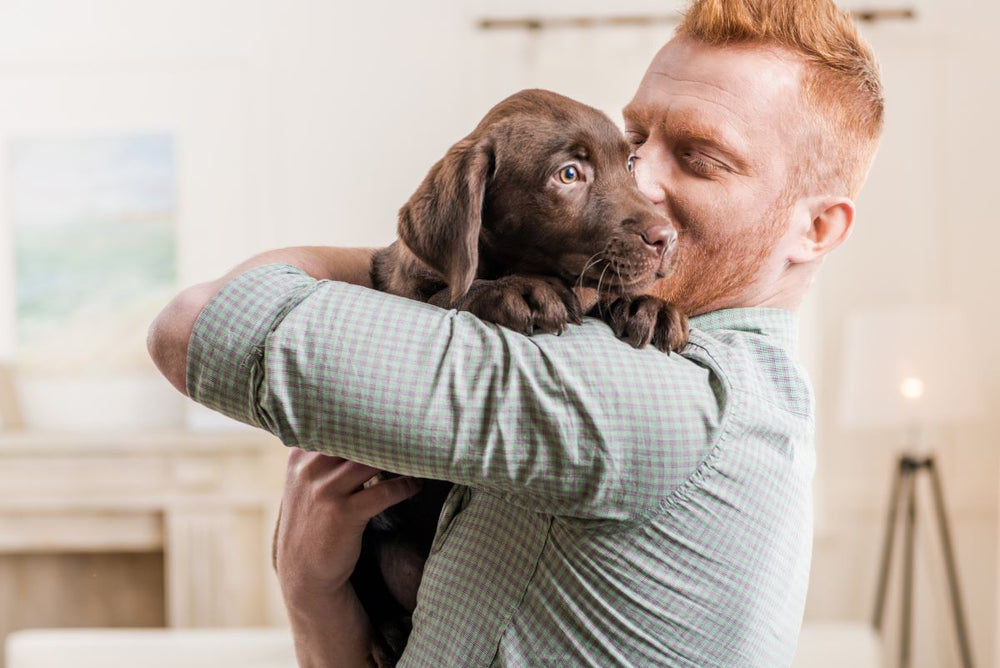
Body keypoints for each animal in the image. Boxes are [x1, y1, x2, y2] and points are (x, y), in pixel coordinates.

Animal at [356, 87, 692, 664]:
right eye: (568, 175)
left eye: (629, 164)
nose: (666, 238)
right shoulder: (410, 289)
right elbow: (452, 291)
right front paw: (520, 290)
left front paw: (648, 306)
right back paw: (383, 634)